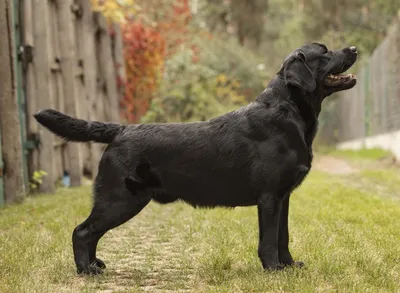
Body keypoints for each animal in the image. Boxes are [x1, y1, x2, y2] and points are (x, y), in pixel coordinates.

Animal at [34, 42, 358, 274]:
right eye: (325, 52)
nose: (354, 49)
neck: (290, 112)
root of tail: (121, 129)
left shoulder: (283, 197)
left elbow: (283, 236)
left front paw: (289, 266)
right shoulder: (269, 198)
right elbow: (268, 240)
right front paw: (273, 270)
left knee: (92, 233)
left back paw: (95, 264)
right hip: (120, 199)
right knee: (82, 231)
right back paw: (85, 270)